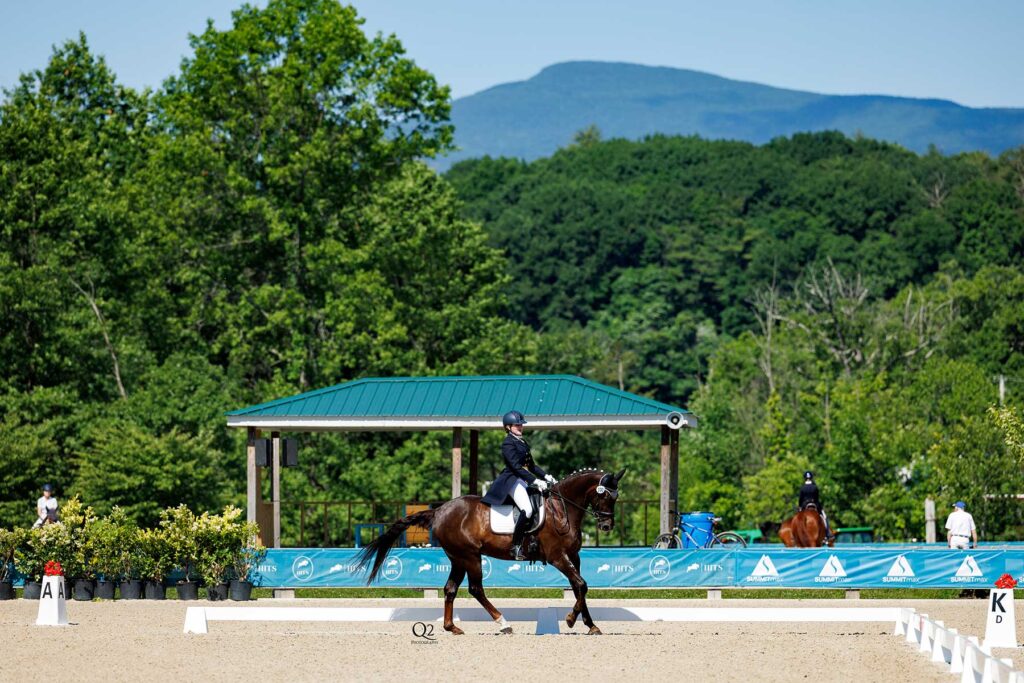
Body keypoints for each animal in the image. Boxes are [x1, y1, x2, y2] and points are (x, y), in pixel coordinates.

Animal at [357, 468, 626, 636]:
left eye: (616, 498)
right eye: (604, 497)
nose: (606, 526)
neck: (562, 509)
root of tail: (439, 510)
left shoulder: (574, 557)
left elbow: (581, 587)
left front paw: (590, 625)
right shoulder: (557, 557)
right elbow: (581, 585)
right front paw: (570, 620)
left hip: (458, 558)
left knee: (450, 589)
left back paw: (452, 627)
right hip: (470, 556)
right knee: (476, 589)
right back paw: (503, 623)